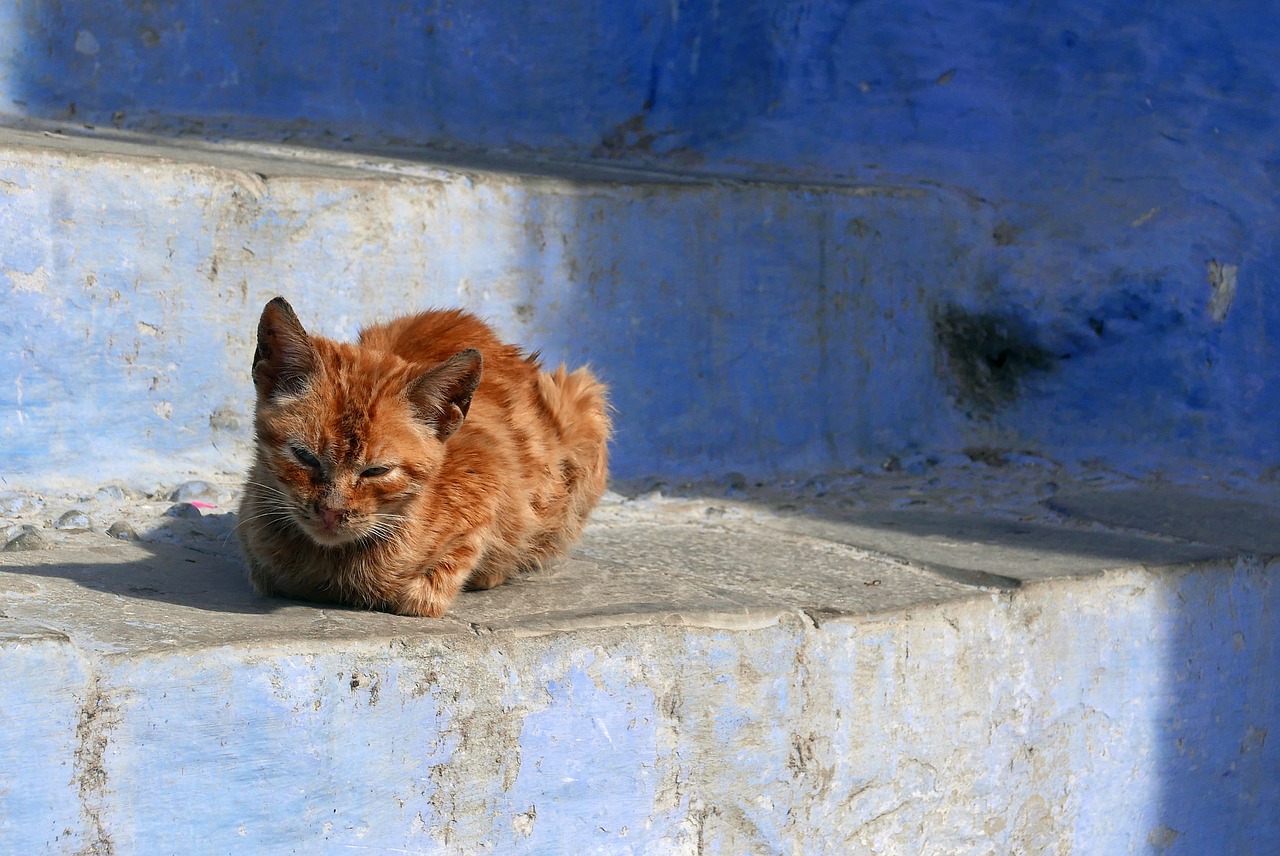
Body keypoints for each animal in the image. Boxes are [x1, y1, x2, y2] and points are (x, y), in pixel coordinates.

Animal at [239, 296, 609, 616]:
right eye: (305, 457)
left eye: (376, 471)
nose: (331, 512)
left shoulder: (492, 478)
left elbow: (441, 576)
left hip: (584, 401)